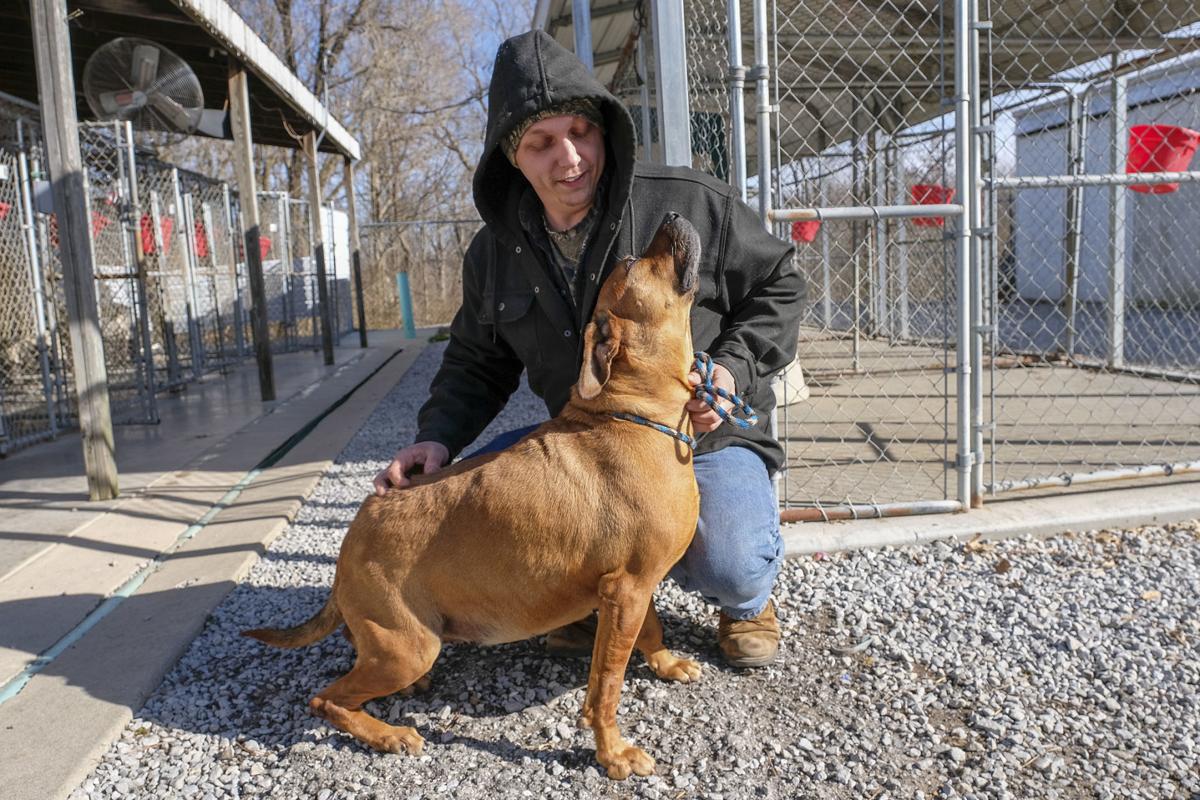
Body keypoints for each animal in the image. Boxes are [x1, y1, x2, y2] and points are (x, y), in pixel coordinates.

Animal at [244, 212, 700, 782]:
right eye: (634, 262)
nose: (673, 217)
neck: (633, 413)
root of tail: (353, 536)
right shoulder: (627, 590)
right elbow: (606, 687)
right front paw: (612, 751)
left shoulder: (635, 589)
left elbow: (651, 631)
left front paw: (665, 663)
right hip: (410, 647)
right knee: (325, 700)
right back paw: (389, 736)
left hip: (396, 643)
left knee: (351, 653)